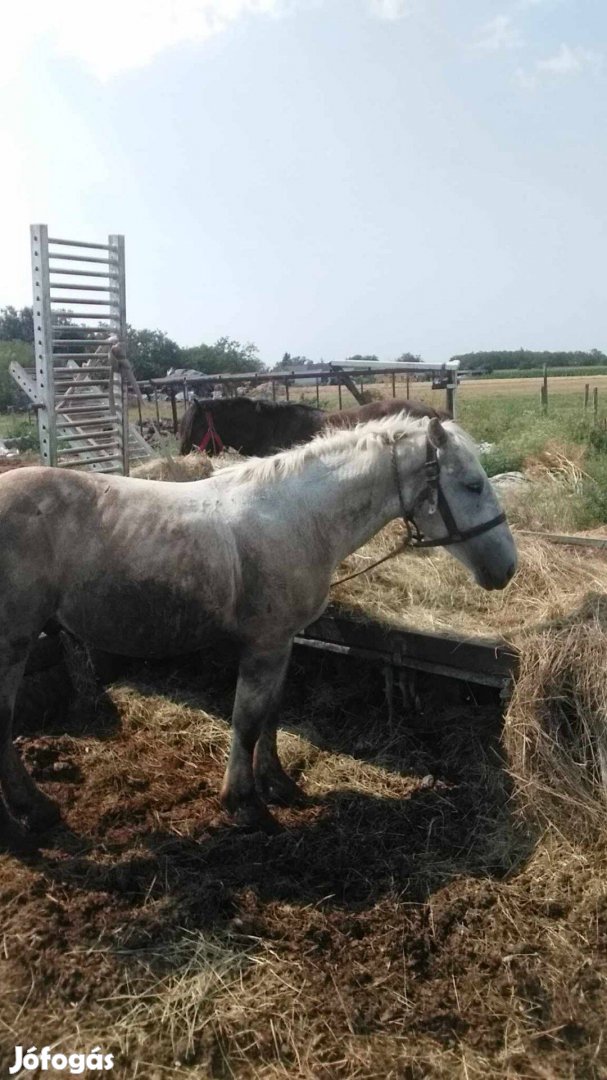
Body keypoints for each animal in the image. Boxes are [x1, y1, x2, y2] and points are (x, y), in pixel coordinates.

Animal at [0, 412, 511, 842]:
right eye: (472, 485)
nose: (507, 568)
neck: (297, 518)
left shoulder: (283, 641)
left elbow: (272, 713)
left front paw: (276, 783)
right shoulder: (264, 645)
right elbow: (246, 720)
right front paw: (244, 803)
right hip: (13, 643)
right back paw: (30, 812)